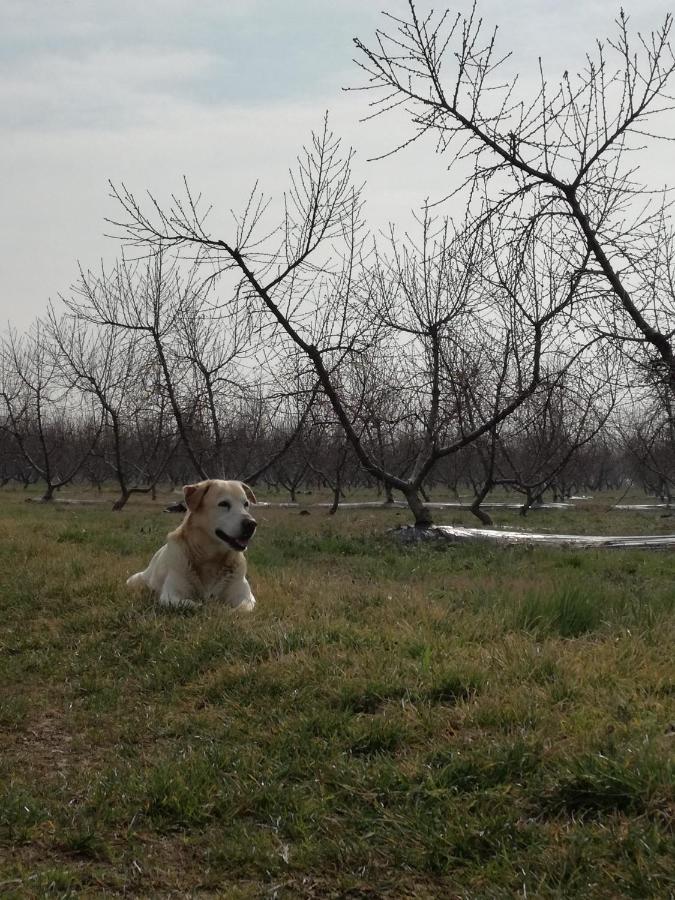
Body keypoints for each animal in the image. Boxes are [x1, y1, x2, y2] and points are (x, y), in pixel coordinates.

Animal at [126, 478, 256, 612]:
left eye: (246, 504)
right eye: (224, 504)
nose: (251, 524)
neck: (211, 560)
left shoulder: (247, 597)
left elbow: (241, 609)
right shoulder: (171, 595)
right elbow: (194, 605)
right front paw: (210, 607)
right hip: (134, 581)